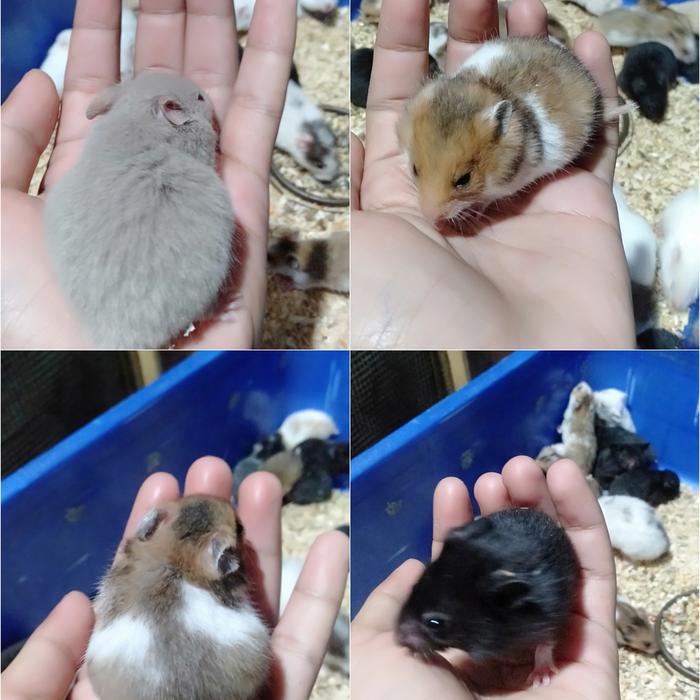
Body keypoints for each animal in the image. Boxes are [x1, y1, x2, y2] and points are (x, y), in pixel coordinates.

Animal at [398, 508, 578, 688]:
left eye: (434, 623)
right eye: (414, 587)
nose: (398, 640)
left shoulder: (553, 617)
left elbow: (544, 645)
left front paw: (540, 679)